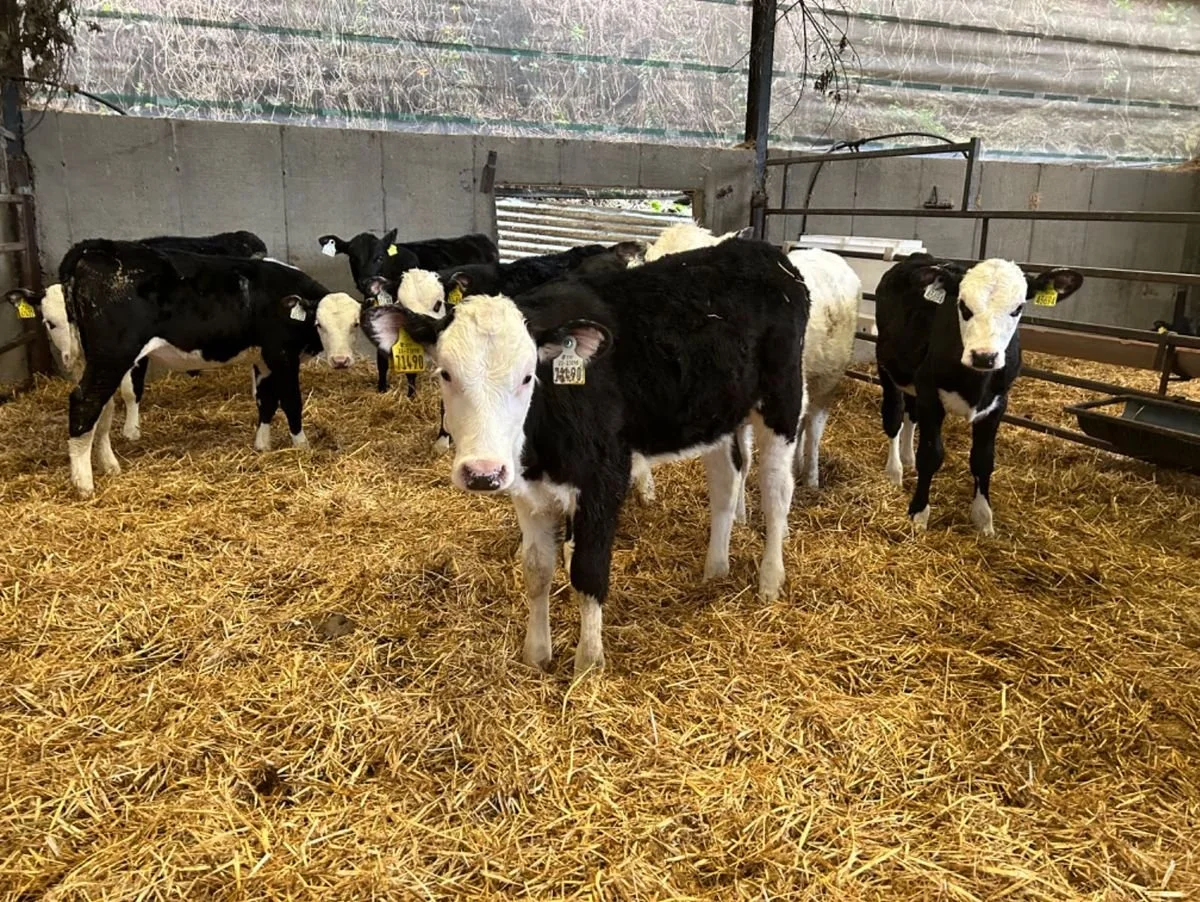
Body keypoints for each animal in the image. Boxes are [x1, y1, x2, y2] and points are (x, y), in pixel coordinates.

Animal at [57, 240, 362, 496]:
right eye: (319, 324)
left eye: (355, 324)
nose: (341, 361)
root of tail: (93, 247)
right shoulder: (283, 356)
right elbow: (291, 402)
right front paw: (302, 446)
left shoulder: (263, 359)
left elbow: (266, 402)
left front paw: (262, 446)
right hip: (113, 356)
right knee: (85, 403)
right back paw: (84, 484)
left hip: (93, 358)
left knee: (103, 408)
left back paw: (109, 466)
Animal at [317, 229, 499, 395]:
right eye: (353, 257)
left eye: (379, 257)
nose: (365, 282)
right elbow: (381, 359)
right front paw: (382, 389)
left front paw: (412, 395)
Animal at [362, 239, 810, 677]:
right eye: (446, 374)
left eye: (528, 376)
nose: (482, 473)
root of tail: (761, 251)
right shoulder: (526, 490)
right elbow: (537, 569)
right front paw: (536, 654)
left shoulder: (603, 479)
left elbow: (588, 572)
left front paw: (588, 664)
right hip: (717, 415)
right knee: (725, 483)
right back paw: (715, 569)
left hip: (782, 399)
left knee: (776, 490)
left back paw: (770, 580)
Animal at [875, 254, 1083, 535]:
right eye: (963, 306)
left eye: (1017, 308)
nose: (984, 356)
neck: (976, 383)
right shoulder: (930, 394)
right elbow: (930, 455)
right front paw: (919, 512)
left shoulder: (997, 405)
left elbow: (983, 460)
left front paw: (984, 518)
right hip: (887, 369)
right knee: (894, 418)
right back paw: (895, 471)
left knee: (911, 414)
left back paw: (907, 458)